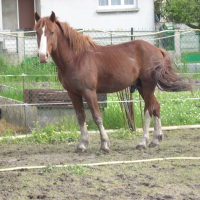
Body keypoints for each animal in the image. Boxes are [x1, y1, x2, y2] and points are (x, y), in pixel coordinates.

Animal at [34, 11, 192, 152]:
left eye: (52, 32)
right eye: (37, 32)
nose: (42, 56)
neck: (75, 58)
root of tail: (157, 50)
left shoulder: (89, 92)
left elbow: (97, 117)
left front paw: (104, 145)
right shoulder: (73, 94)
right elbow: (80, 117)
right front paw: (82, 145)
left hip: (147, 86)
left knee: (148, 110)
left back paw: (143, 142)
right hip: (142, 87)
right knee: (156, 107)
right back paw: (155, 140)